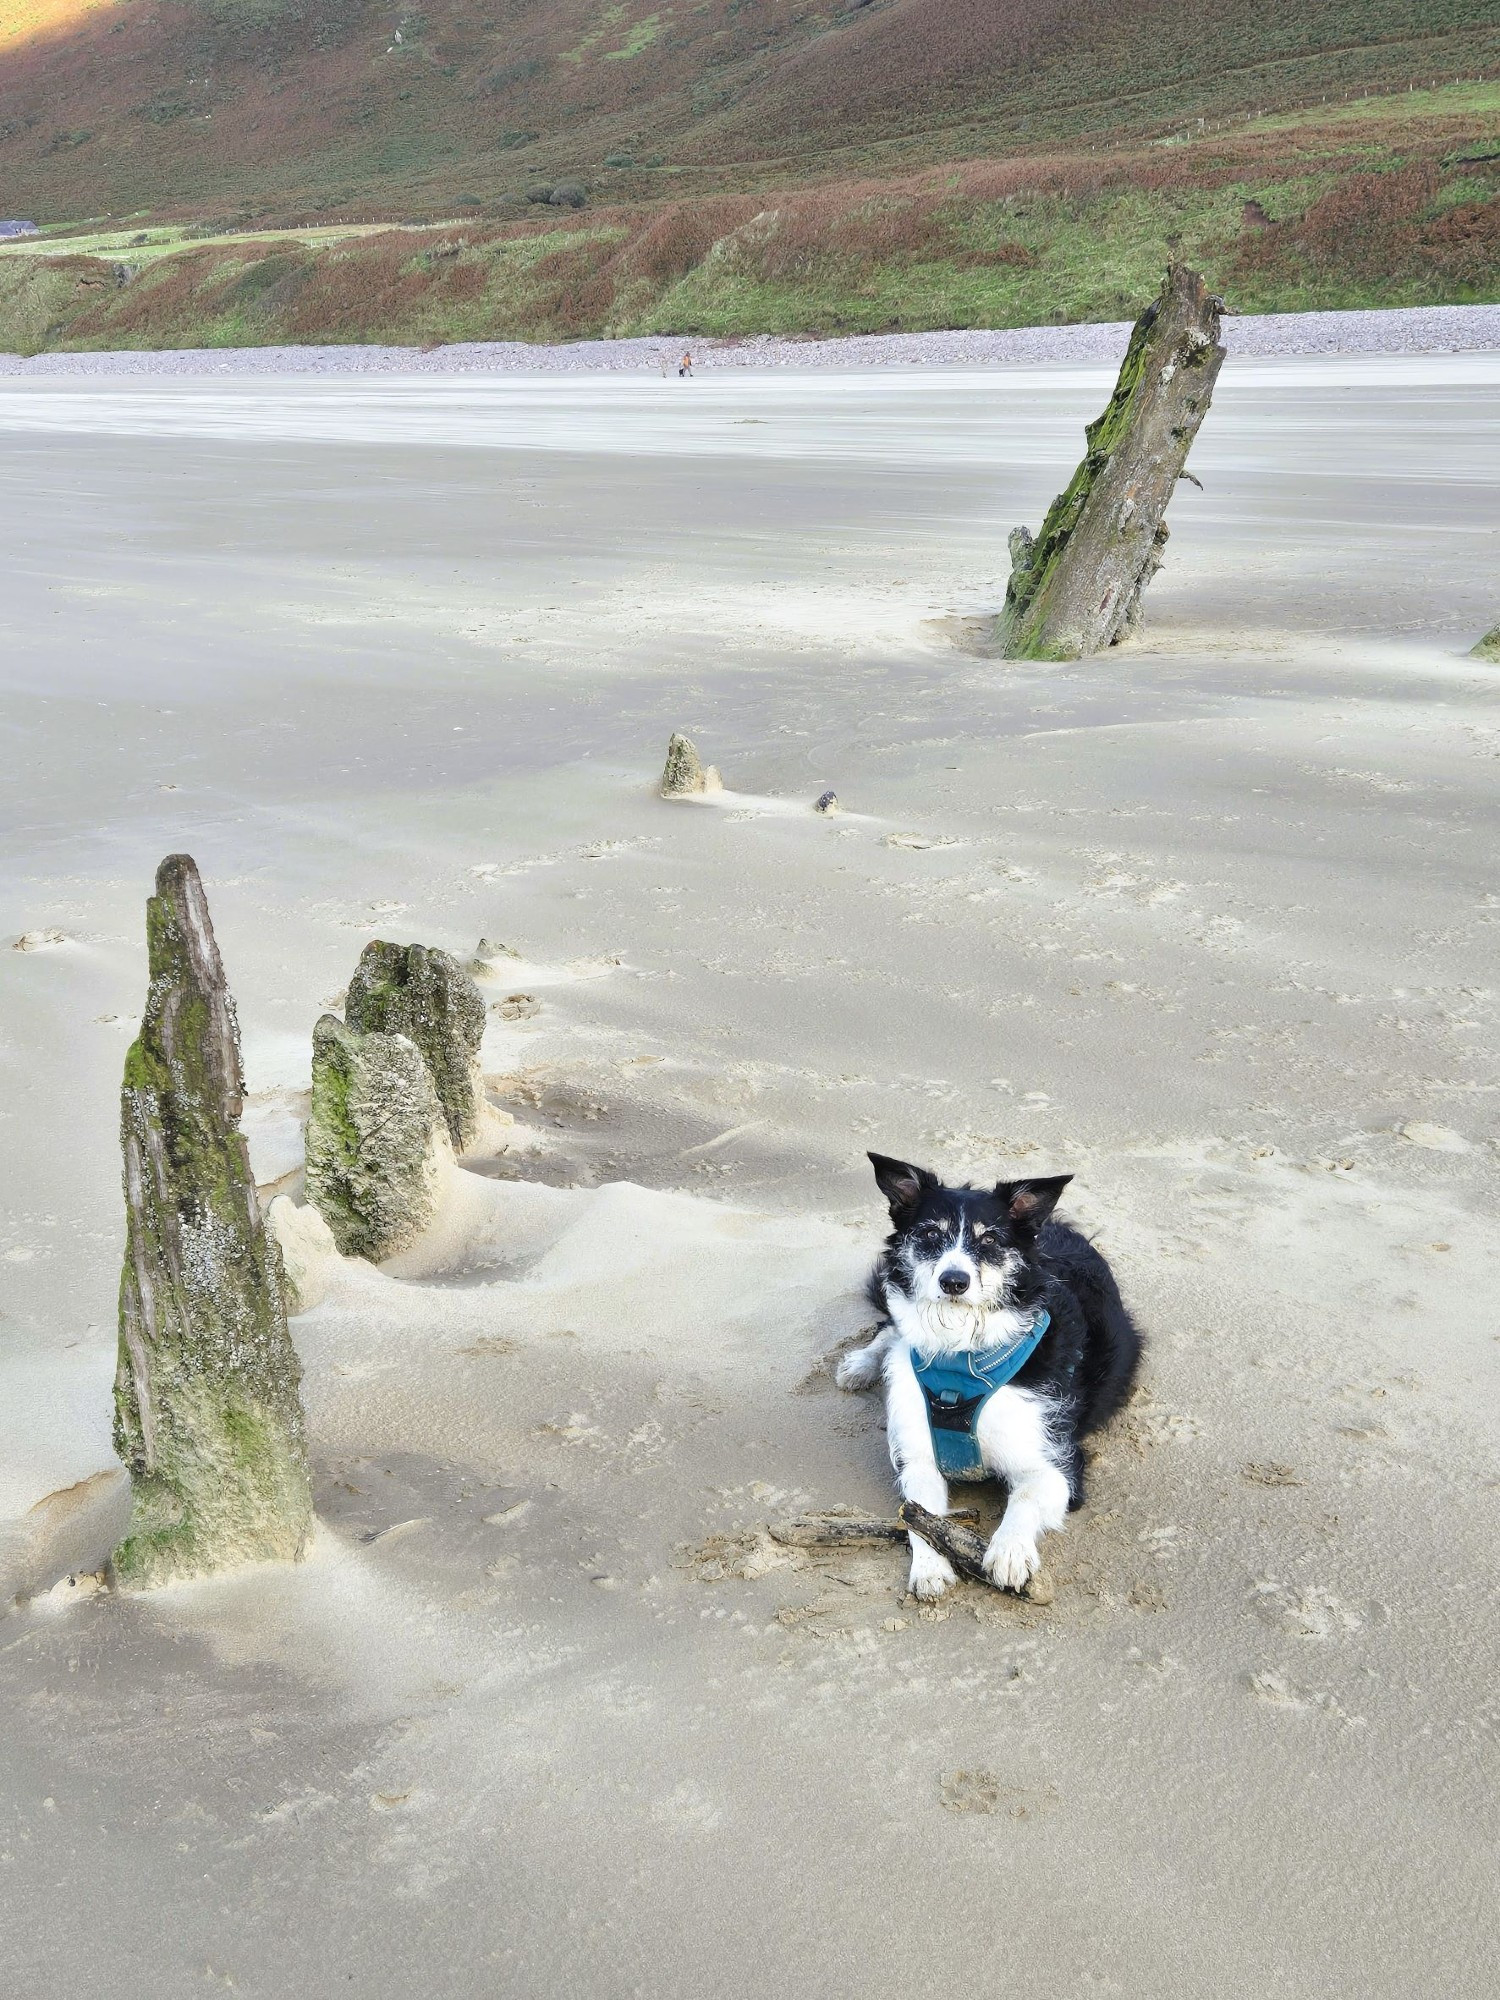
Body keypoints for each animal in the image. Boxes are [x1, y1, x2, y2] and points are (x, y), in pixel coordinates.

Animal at [840, 1160, 1144, 1592]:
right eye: (930, 1233)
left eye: (990, 1240)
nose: (954, 1281)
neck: (959, 1355)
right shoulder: (916, 1459)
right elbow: (920, 1516)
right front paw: (930, 1568)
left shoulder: (1058, 1466)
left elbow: (1025, 1499)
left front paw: (1009, 1552)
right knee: (889, 1328)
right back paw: (861, 1364)